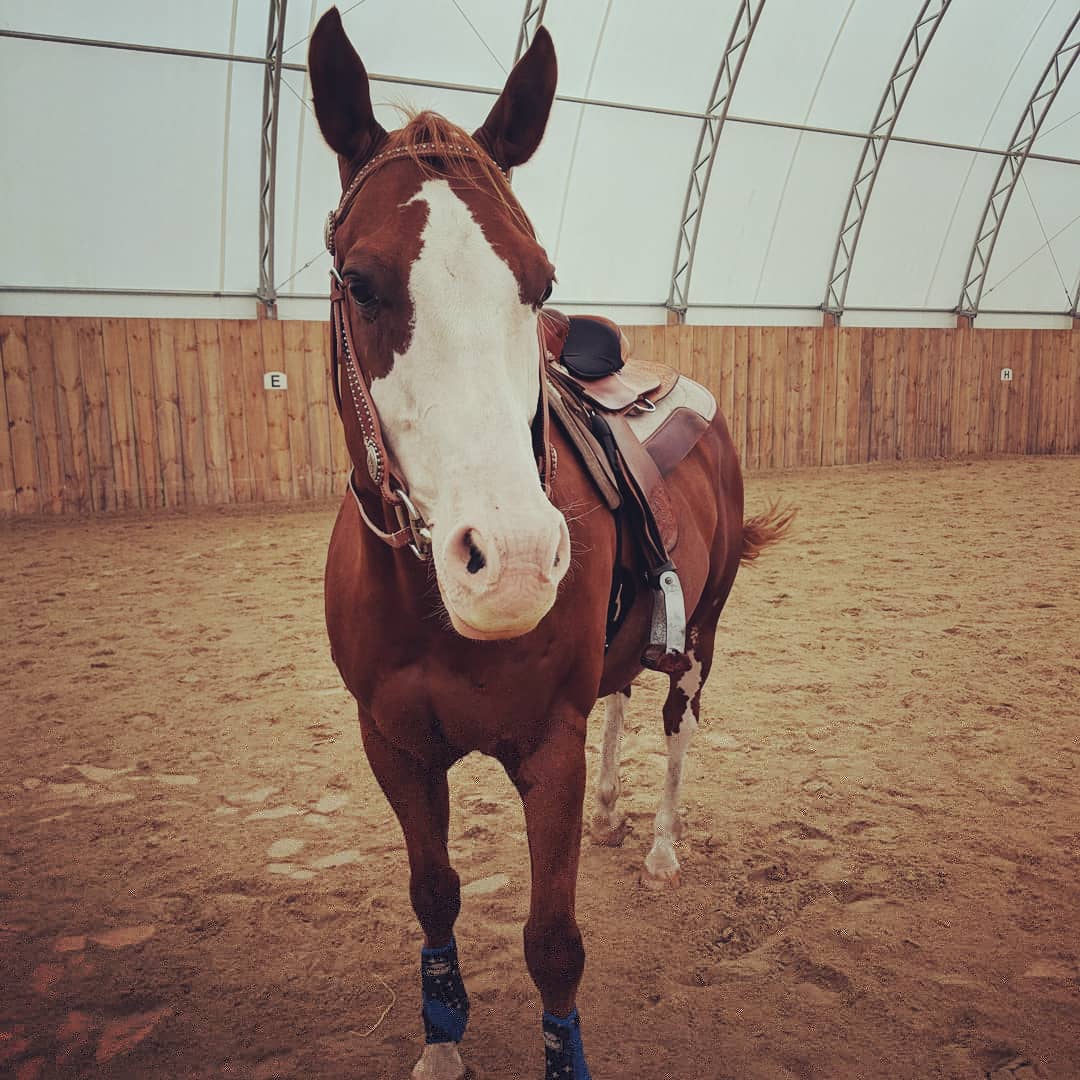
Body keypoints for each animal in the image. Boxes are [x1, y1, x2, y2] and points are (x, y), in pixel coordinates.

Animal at [308, 9, 789, 1078]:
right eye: (359, 281)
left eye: (539, 283)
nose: (515, 563)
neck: (431, 615)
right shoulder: (390, 745)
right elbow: (433, 896)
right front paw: (442, 1040)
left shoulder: (548, 751)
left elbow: (554, 943)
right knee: (624, 698)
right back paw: (613, 813)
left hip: (705, 629)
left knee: (676, 721)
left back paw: (659, 846)